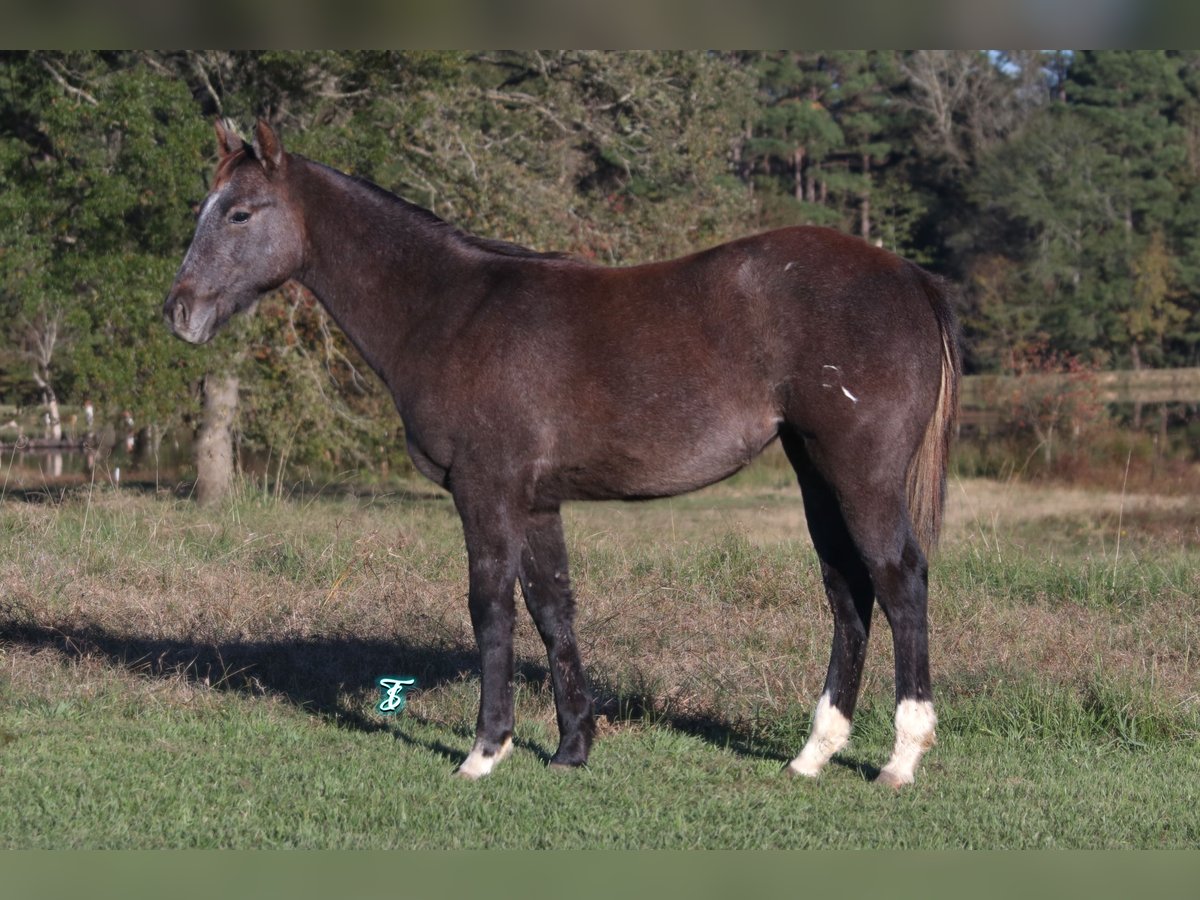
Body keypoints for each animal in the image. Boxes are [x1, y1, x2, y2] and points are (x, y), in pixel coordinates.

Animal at [164, 121, 960, 787]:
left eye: (240, 213)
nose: (179, 312)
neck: (453, 309)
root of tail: (908, 276)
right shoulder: (537, 499)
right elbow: (552, 609)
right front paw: (573, 746)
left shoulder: (485, 489)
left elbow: (490, 607)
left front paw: (487, 750)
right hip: (816, 473)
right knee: (848, 593)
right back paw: (813, 754)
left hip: (860, 474)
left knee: (900, 581)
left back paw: (901, 758)